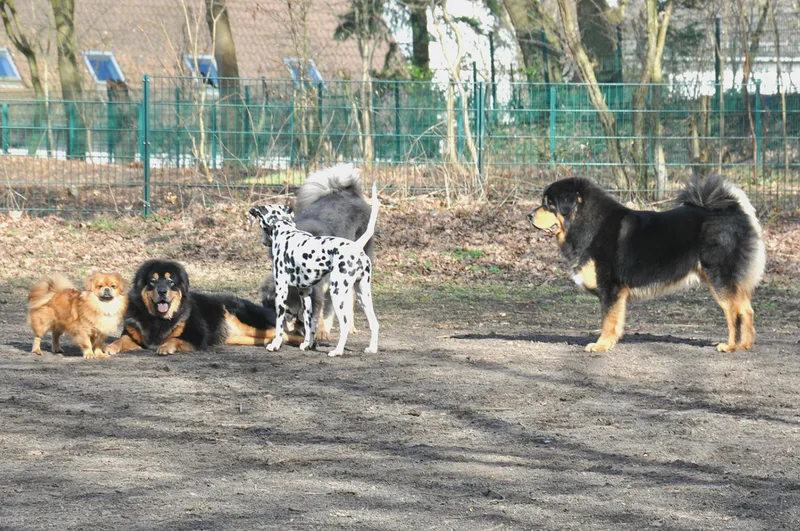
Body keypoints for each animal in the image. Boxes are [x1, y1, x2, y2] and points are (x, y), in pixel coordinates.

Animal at [105, 259, 303, 356]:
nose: (162, 291)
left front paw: (165, 348)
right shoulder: (134, 336)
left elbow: (174, 339)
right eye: (152, 281)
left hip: (252, 323)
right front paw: (110, 347)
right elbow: (121, 340)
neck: (157, 319)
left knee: (284, 332)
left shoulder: (196, 336)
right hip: (245, 337)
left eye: (171, 281)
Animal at [249, 182, 380, 357]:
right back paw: (372, 348)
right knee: (374, 323)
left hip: (337, 293)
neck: (286, 232)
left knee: (344, 325)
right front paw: (307, 344)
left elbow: (280, 324)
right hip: (363, 294)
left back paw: (337, 351)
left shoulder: (282, 290)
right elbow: (308, 323)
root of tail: (356, 246)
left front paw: (275, 344)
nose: (263, 242)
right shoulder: (305, 293)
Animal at [529, 175, 766, 352]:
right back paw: (745, 344)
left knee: (733, 312)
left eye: (549, 203)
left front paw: (601, 345)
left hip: (719, 277)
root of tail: (733, 210)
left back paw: (730, 346)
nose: (529, 215)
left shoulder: (610, 287)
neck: (587, 223)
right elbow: (615, 320)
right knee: (747, 309)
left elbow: (607, 320)